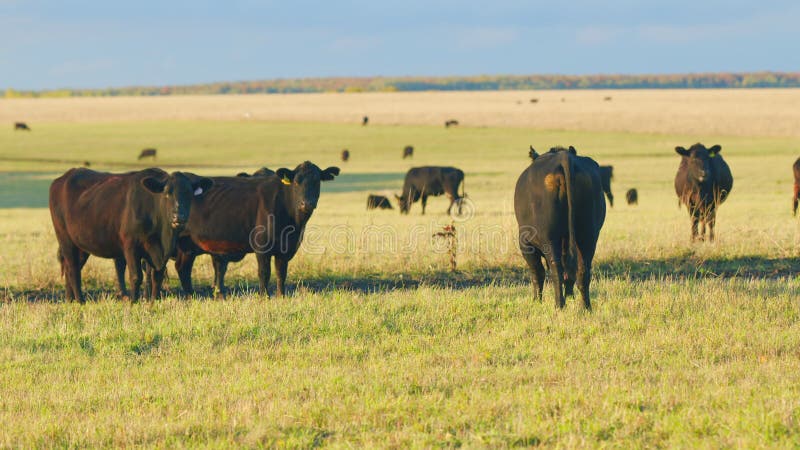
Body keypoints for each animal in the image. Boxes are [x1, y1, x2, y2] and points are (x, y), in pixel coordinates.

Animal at [48, 168, 212, 302]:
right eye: (167, 193)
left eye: (189, 194)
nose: (179, 216)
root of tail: (62, 178)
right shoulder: (130, 245)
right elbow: (136, 276)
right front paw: (133, 302)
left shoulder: (160, 251)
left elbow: (156, 276)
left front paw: (153, 301)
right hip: (65, 239)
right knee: (73, 268)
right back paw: (80, 300)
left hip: (81, 245)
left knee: (70, 268)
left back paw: (70, 299)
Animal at [171, 163, 338, 298]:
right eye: (297, 182)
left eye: (317, 181)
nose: (307, 203)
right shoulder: (262, 247)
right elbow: (264, 273)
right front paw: (265, 297)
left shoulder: (285, 249)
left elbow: (281, 273)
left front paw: (281, 296)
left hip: (188, 247)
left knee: (183, 268)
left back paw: (192, 296)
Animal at [516, 147, 604, 310]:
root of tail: (564, 156)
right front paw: (570, 297)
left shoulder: (526, 243)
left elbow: (537, 272)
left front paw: (536, 300)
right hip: (588, 236)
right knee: (582, 270)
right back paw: (585, 307)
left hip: (549, 238)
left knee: (555, 269)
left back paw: (559, 305)